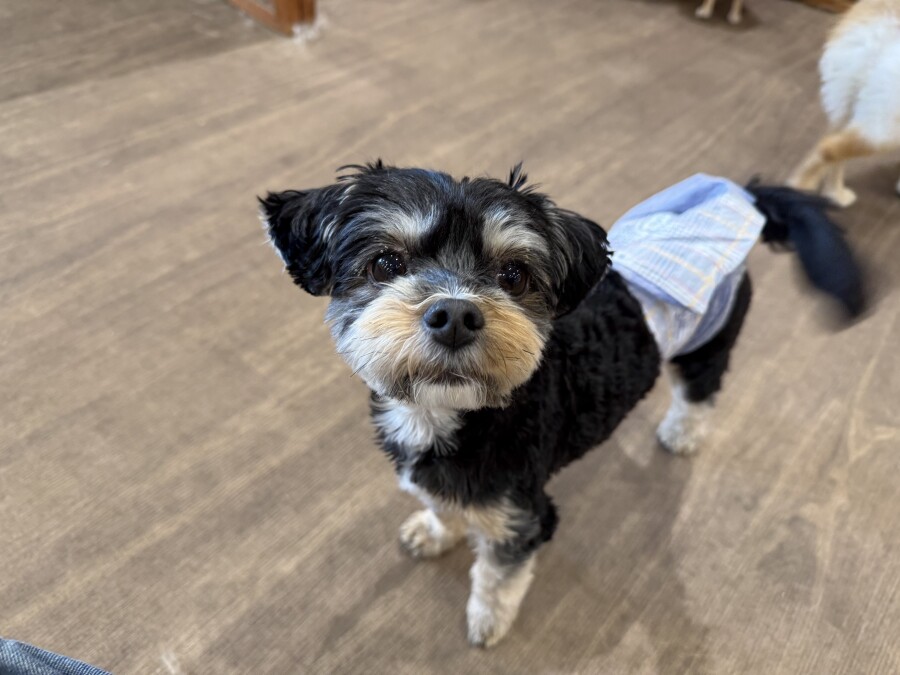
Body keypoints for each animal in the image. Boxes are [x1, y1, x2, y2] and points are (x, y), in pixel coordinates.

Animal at [260, 162, 865, 647]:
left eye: (514, 274)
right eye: (385, 263)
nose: (454, 314)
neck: (453, 414)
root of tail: (741, 195)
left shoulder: (522, 515)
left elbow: (497, 578)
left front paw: (487, 623)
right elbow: (441, 503)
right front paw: (434, 531)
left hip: (707, 342)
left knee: (700, 392)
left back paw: (683, 434)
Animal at [790, 0, 900, 207]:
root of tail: (880, 36)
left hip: (844, 100)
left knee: (829, 147)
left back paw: (832, 194)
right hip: (884, 129)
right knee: (828, 149)